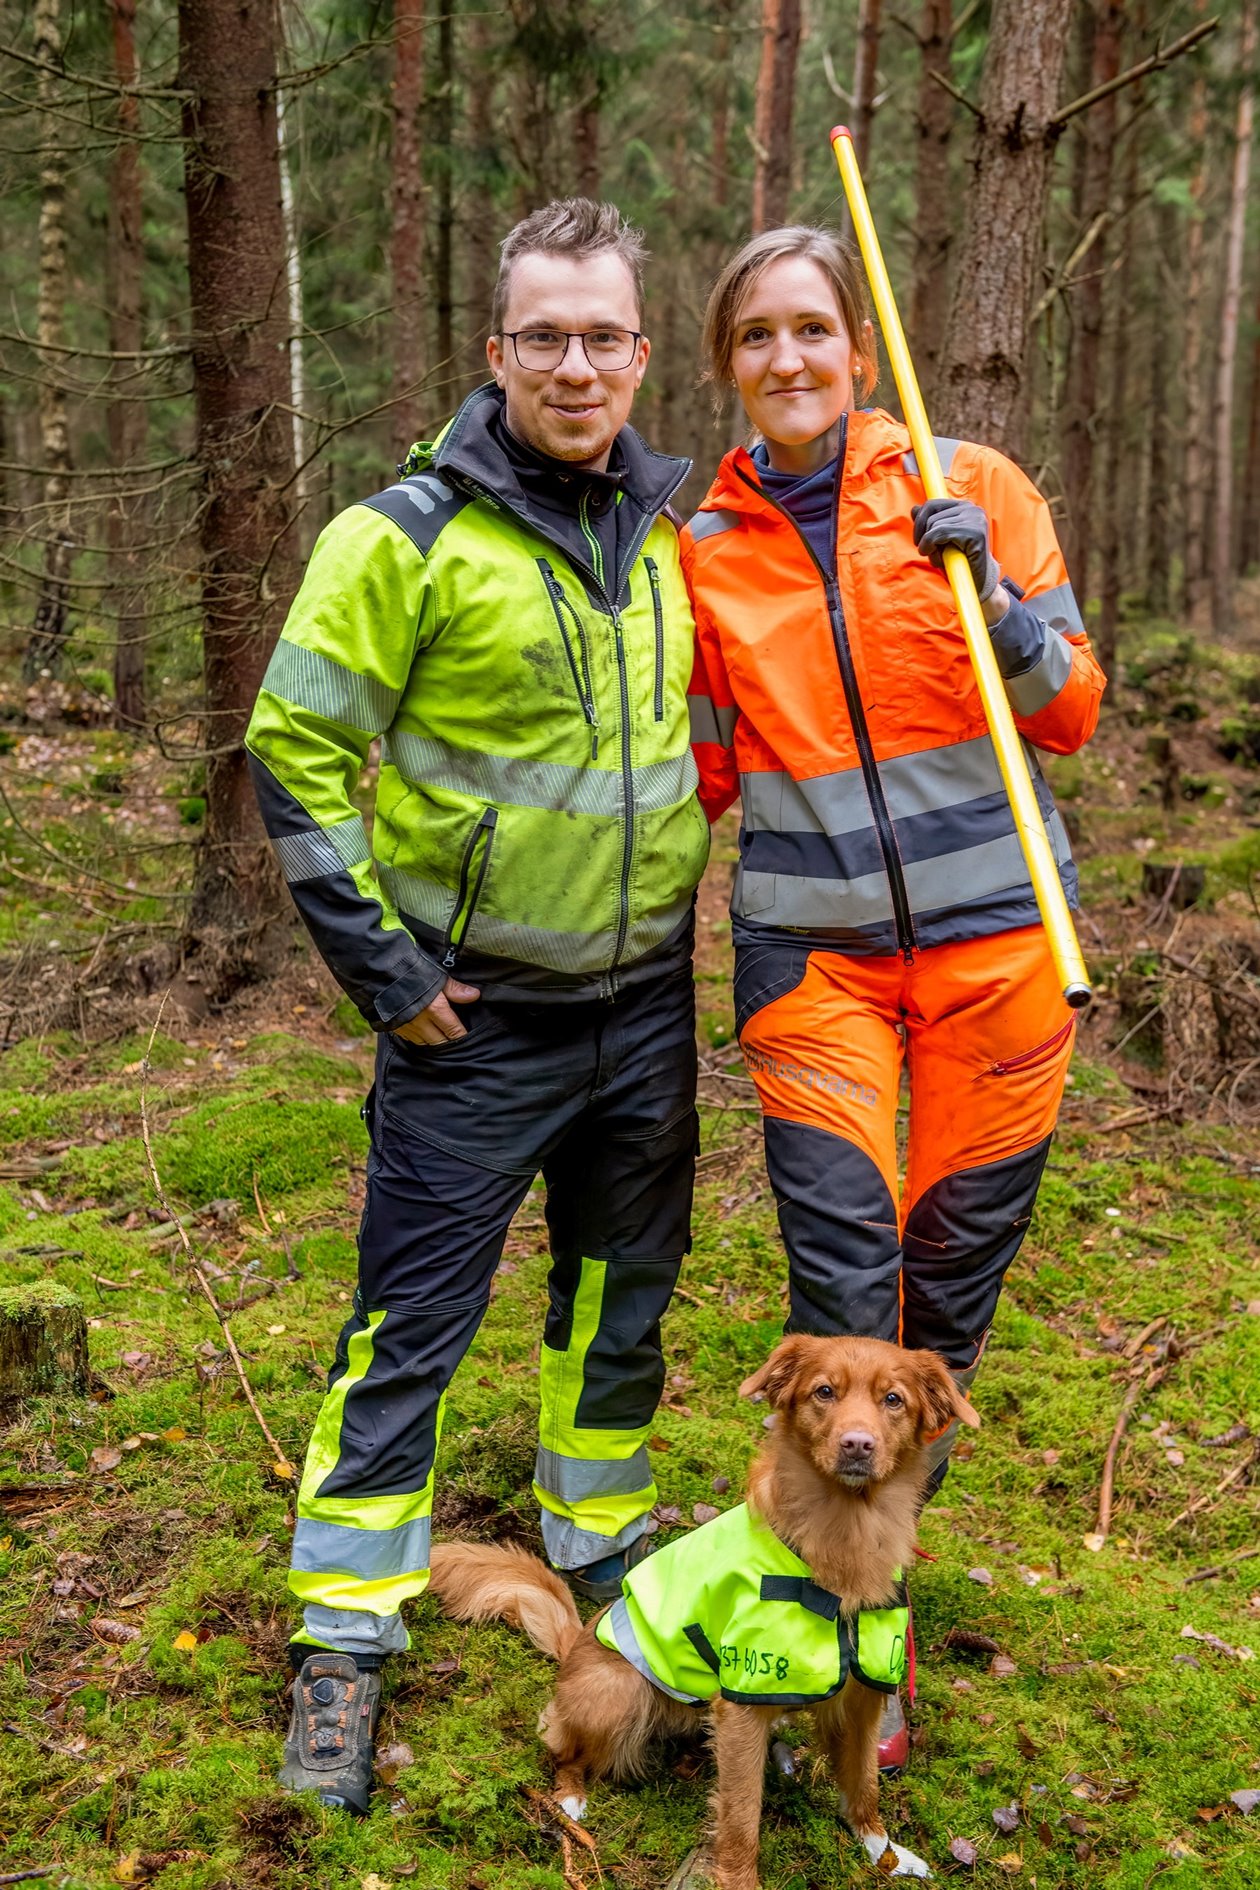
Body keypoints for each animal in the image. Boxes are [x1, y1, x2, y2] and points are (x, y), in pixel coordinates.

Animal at [428, 1338, 982, 1882]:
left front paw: (882, 1850)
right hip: (617, 1692)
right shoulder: (741, 1702)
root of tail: (575, 1642)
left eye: (894, 1400)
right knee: (563, 1748)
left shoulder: (863, 1701)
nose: (858, 1444)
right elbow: (740, 1818)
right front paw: (738, 1876)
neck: (845, 1535)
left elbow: (863, 1782)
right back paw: (570, 1800)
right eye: (824, 1392)